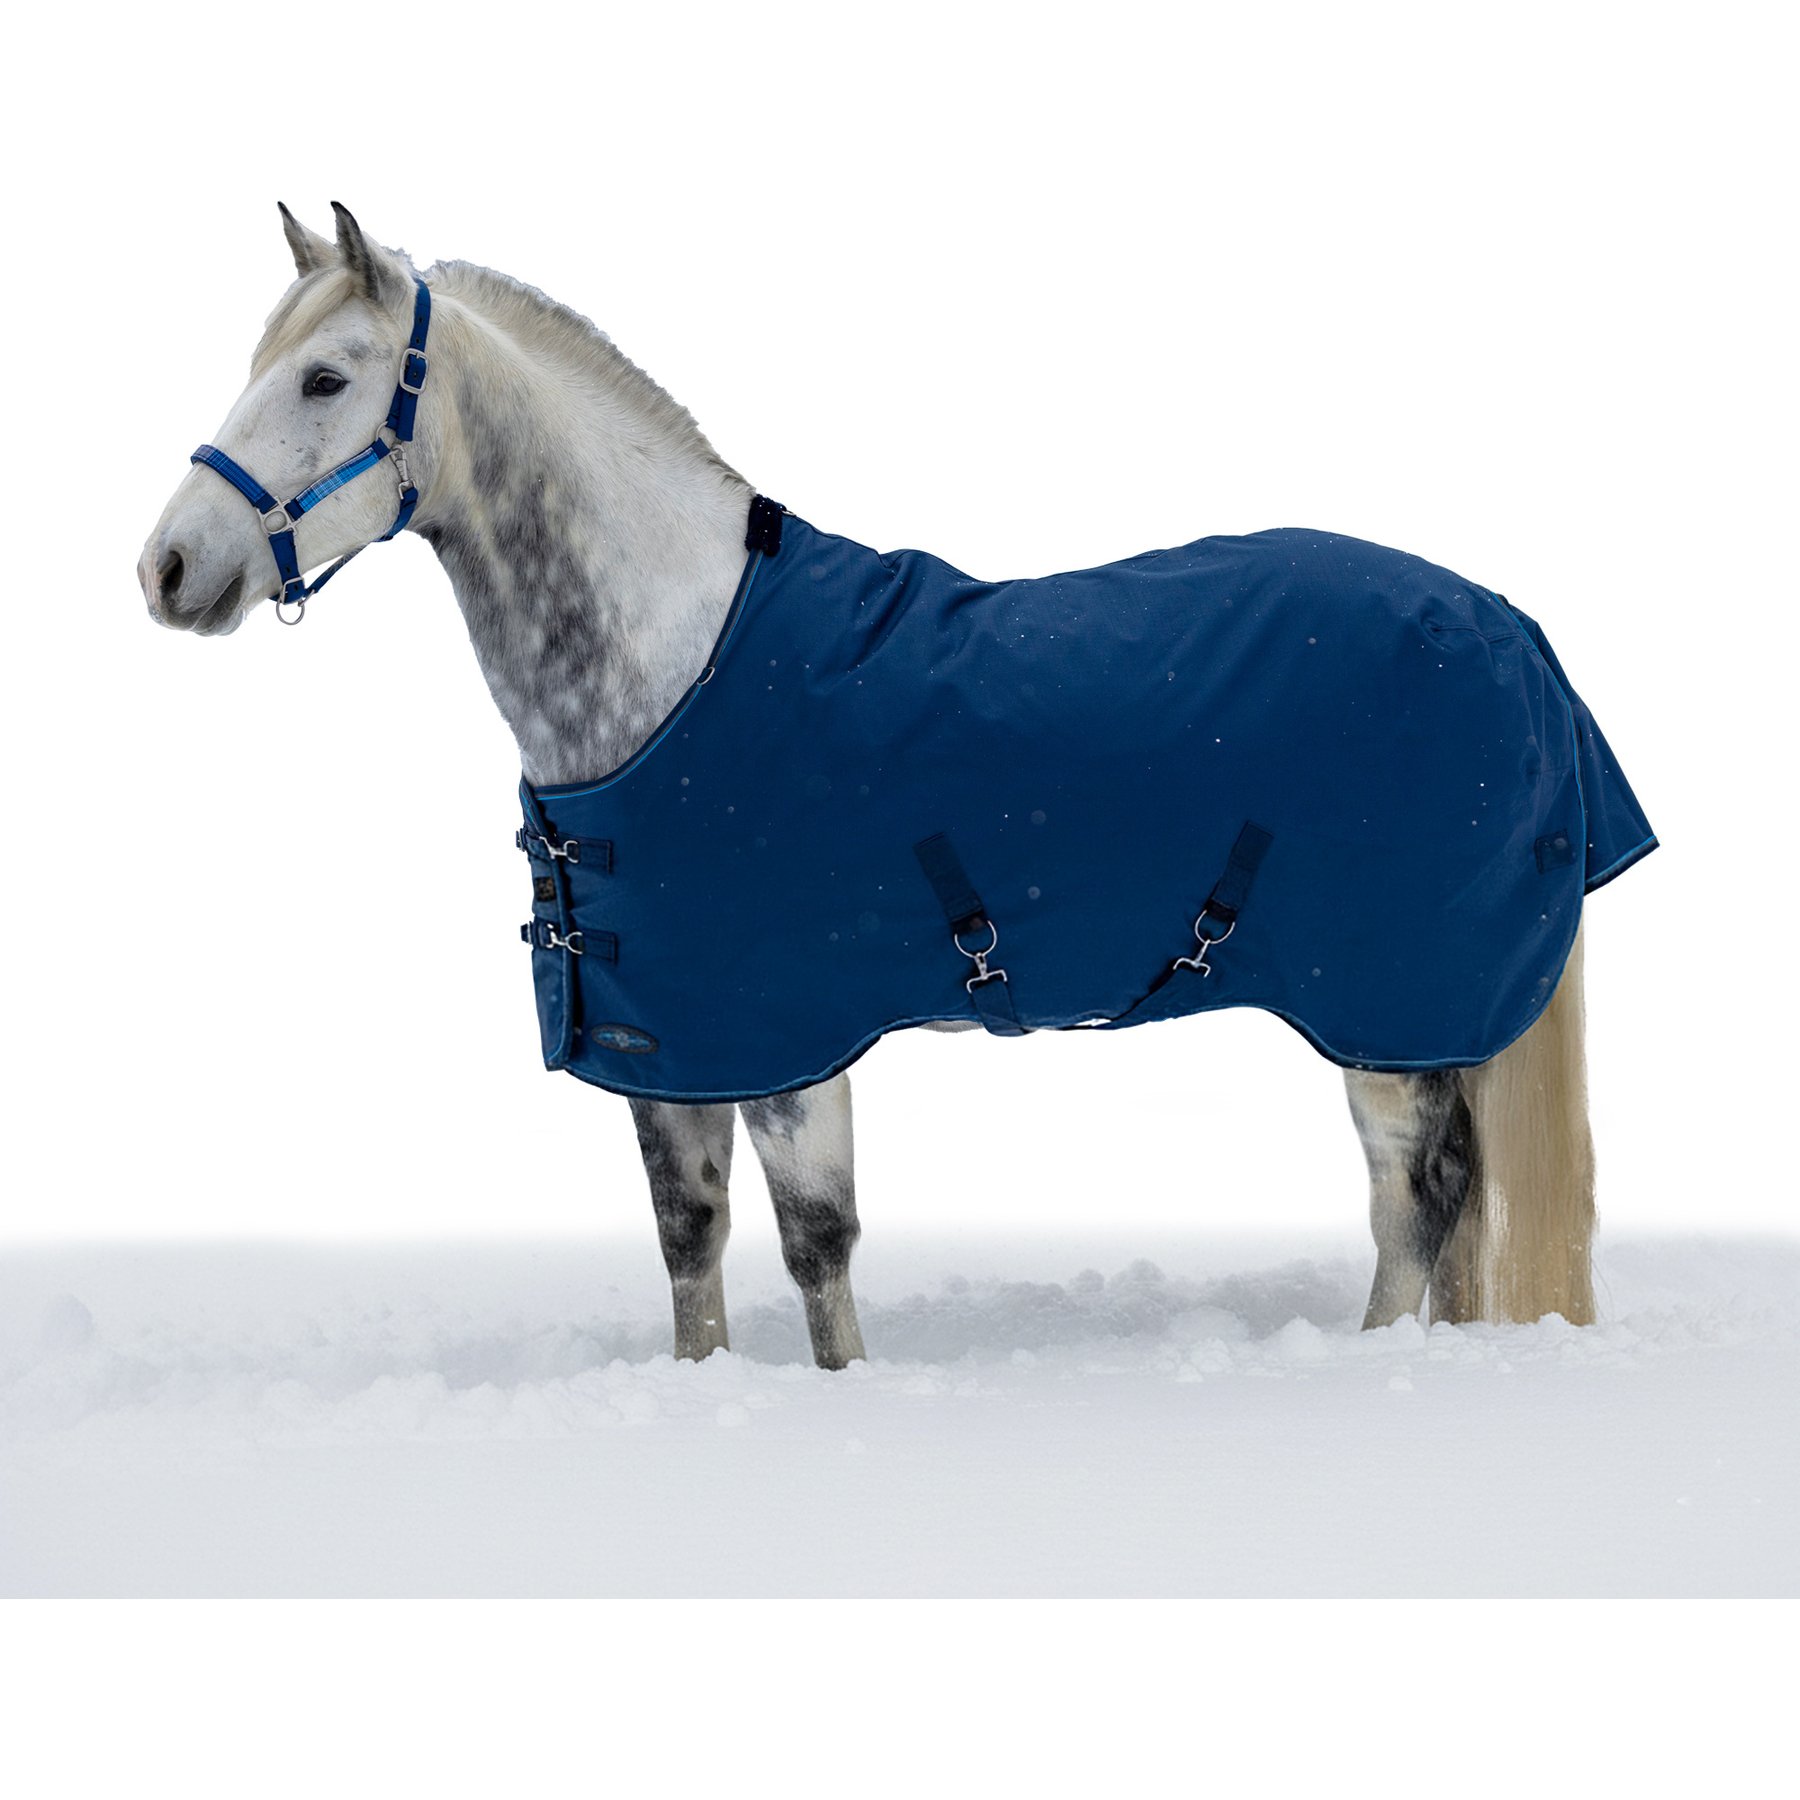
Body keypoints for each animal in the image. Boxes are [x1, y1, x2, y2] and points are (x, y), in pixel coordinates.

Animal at [138, 204, 1635, 1369]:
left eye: (325, 379)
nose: (168, 567)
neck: (675, 664)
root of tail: (1509, 628)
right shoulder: (675, 1039)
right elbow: (691, 1242)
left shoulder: (794, 1035)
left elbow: (817, 1247)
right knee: (1452, 1202)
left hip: (1382, 1007)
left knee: (1419, 1198)